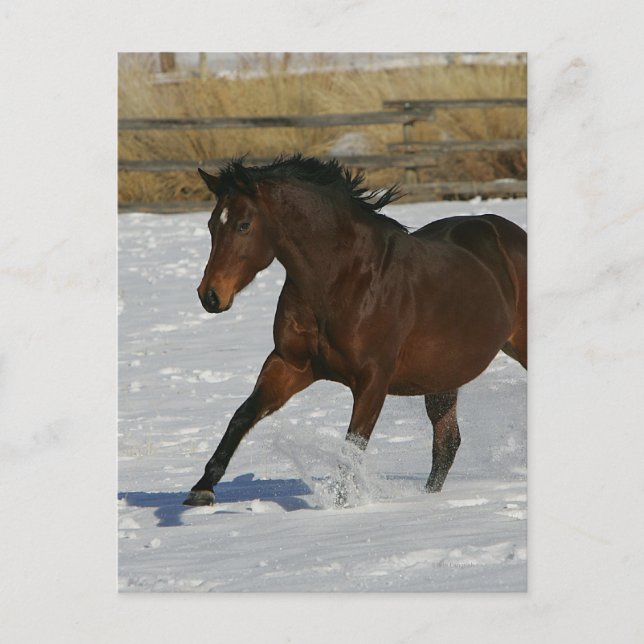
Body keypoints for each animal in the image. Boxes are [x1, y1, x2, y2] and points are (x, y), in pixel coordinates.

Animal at [182, 154, 527, 507]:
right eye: (212, 225)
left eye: (243, 225)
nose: (210, 296)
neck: (342, 278)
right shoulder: (290, 365)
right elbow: (243, 415)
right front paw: (202, 488)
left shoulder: (373, 380)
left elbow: (352, 447)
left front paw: (342, 506)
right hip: (442, 377)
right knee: (446, 444)